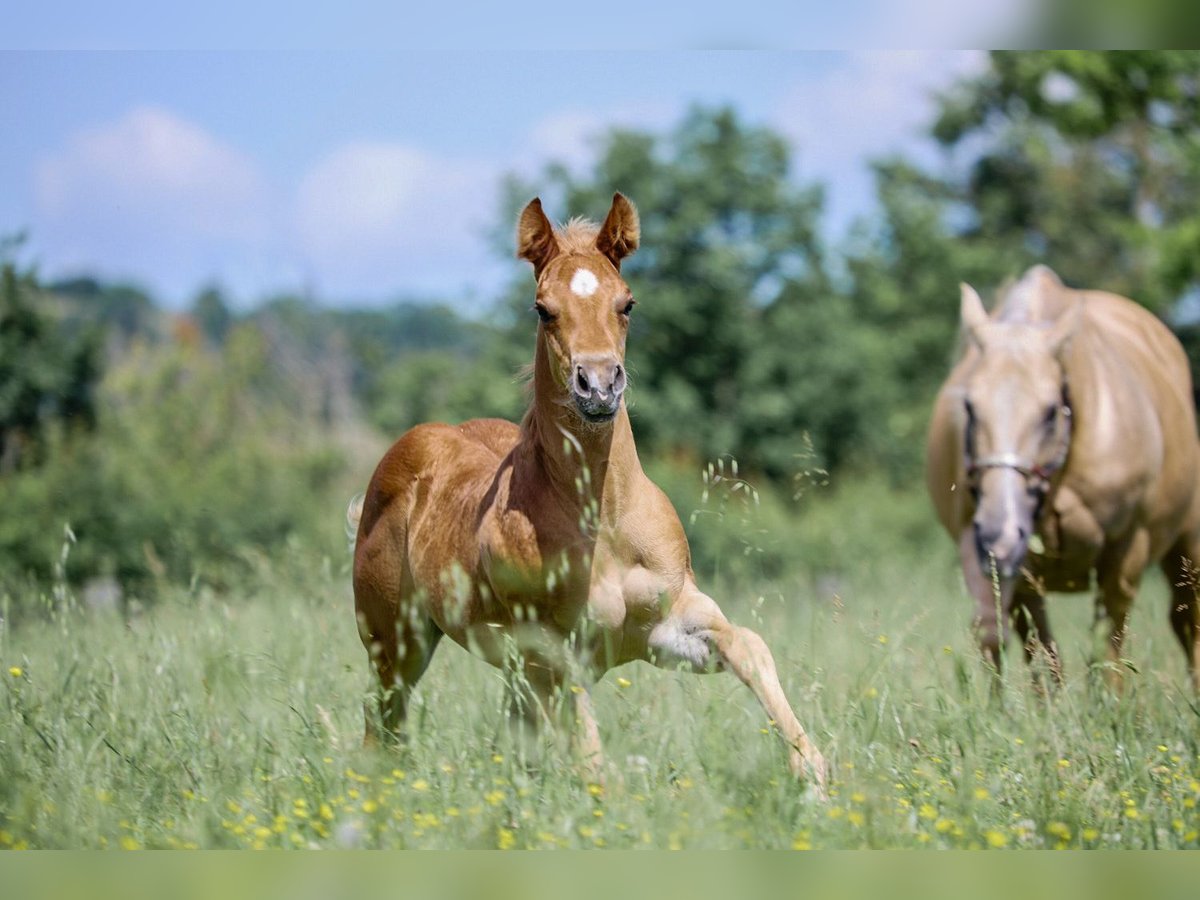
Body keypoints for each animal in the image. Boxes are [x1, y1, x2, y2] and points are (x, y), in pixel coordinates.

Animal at [350, 195, 830, 787]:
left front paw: (813, 773)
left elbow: (751, 646)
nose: (599, 385)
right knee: (383, 722)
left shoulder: (669, 625)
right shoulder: (554, 654)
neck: (606, 521)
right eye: (542, 309)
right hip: (397, 639)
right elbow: (590, 755)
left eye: (627, 303)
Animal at [926, 267, 1200, 691]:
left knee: (1187, 620)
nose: (998, 533)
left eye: (1051, 411)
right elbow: (1013, 642)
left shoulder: (1126, 551)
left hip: (1188, 544)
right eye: (969, 407)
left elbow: (1107, 649)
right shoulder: (996, 560)